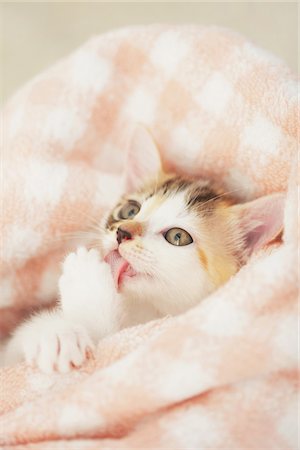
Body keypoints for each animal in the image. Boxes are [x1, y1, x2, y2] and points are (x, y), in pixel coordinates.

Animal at [3, 125, 284, 372]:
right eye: (130, 210)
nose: (122, 233)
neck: (143, 309)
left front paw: (84, 281)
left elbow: (101, 337)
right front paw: (54, 333)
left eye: (178, 236)